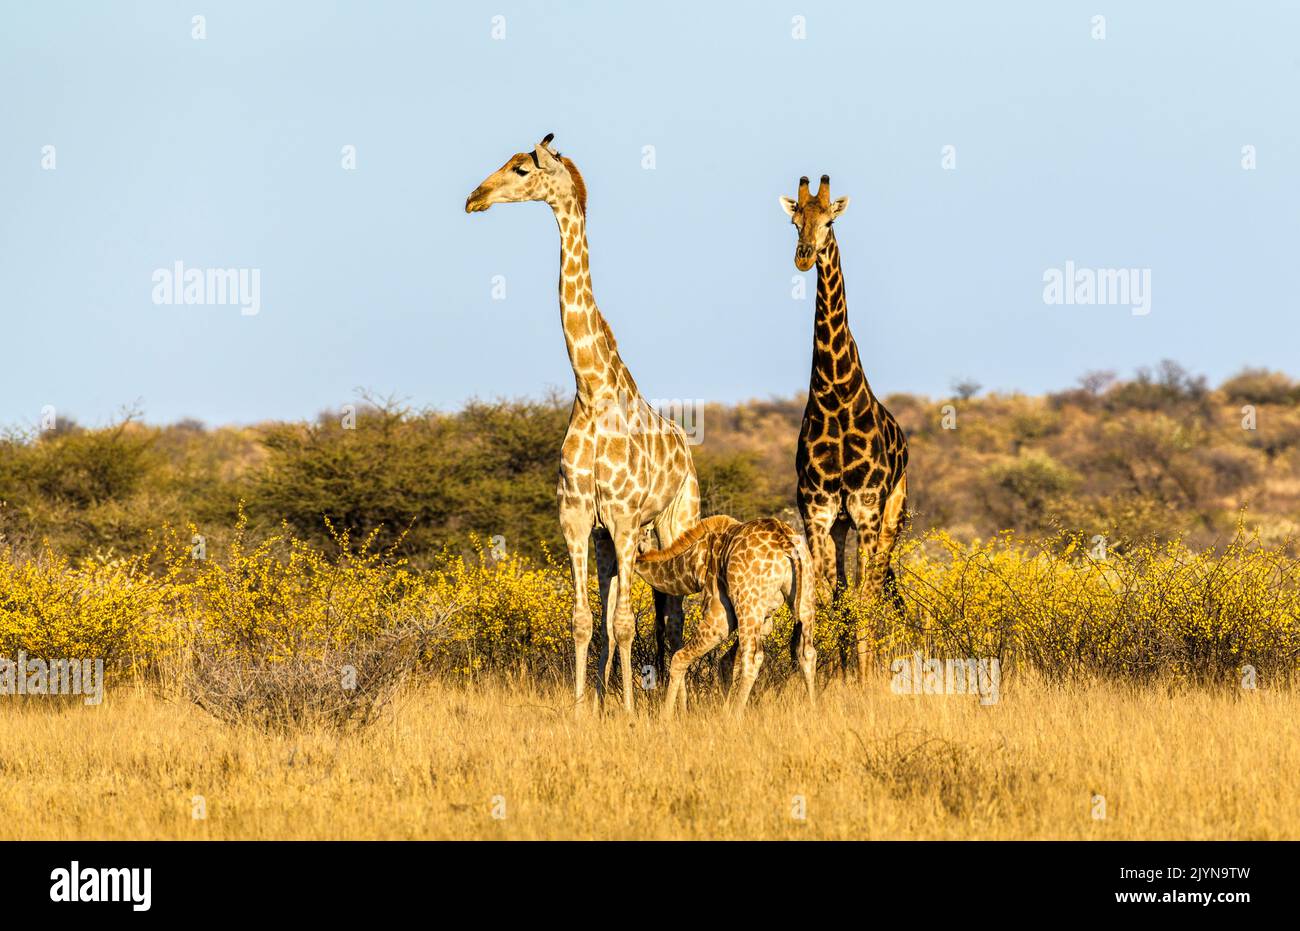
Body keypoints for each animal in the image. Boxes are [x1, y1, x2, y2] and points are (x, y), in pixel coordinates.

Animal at [466, 133, 700, 713]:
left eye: (521, 168)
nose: (474, 198)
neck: (592, 391)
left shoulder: (622, 518)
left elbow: (626, 622)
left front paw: (631, 709)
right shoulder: (577, 519)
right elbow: (584, 620)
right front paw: (582, 708)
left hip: (674, 520)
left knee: (674, 616)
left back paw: (673, 702)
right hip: (613, 542)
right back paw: (608, 691)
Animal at [634, 515, 817, 717]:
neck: (692, 563)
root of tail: (785, 541)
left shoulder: (718, 617)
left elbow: (679, 658)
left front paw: (665, 716)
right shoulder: (765, 621)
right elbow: (726, 662)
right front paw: (723, 710)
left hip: (748, 604)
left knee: (752, 658)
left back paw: (737, 715)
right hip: (805, 598)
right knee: (807, 652)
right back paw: (812, 708)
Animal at [780, 175, 909, 681]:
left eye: (830, 221)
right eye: (795, 219)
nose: (803, 256)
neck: (834, 396)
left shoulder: (868, 507)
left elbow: (864, 595)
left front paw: (864, 674)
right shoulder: (817, 511)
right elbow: (822, 595)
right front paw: (820, 670)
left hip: (891, 516)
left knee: (873, 585)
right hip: (839, 524)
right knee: (841, 589)